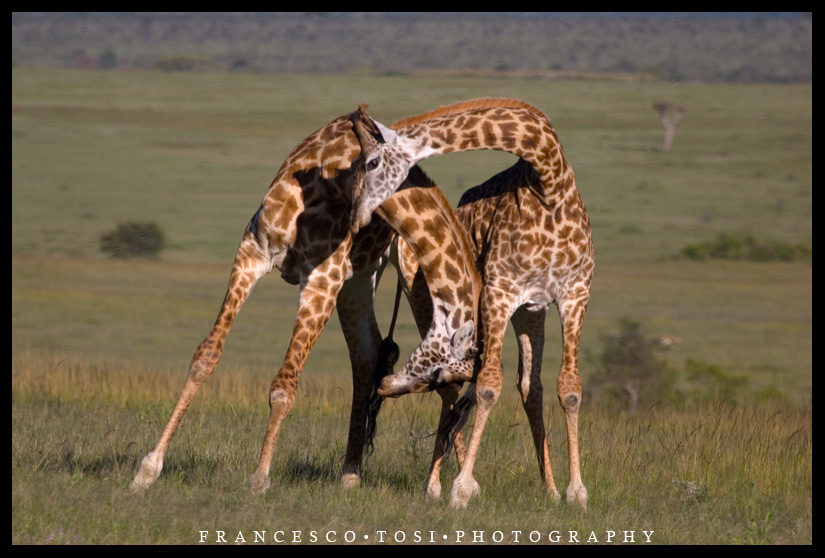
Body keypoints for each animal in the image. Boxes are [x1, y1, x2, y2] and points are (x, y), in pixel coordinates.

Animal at [129, 109, 476, 498]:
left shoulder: (322, 278)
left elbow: (284, 386)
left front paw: (259, 479)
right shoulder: (253, 252)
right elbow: (205, 357)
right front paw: (148, 468)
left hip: (410, 277)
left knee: (441, 376)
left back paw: (443, 484)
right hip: (359, 279)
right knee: (368, 357)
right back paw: (352, 473)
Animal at [348, 98, 592, 510]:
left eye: (372, 162)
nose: (355, 218)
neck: (550, 181)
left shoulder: (574, 293)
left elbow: (569, 388)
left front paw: (575, 492)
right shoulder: (499, 291)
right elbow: (489, 387)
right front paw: (460, 488)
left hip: (529, 312)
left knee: (528, 386)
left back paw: (549, 488)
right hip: (431, 302)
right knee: (458, 388)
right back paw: (433, 484)